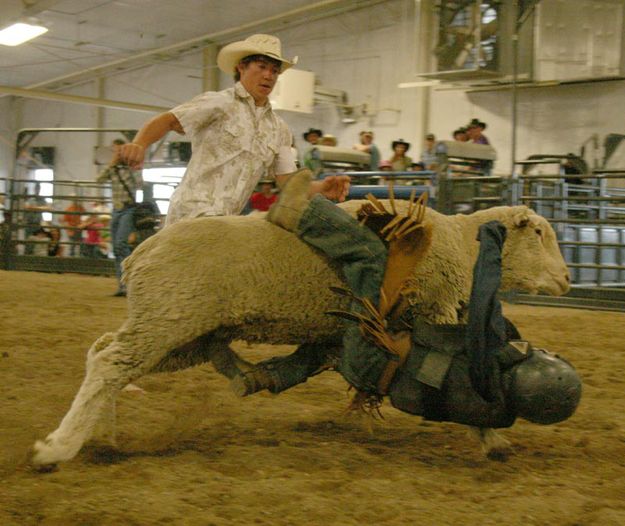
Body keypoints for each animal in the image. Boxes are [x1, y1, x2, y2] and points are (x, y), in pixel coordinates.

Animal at [33, 205, 572, 470]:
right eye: (539, 233)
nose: (568, 279)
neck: (460, 245)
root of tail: (136, 255)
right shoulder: (434, 313)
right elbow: (460, 382)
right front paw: (493, 441)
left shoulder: (347, 332)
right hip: (169, 318)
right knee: (109, 364)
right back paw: (56, 448)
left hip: (177, 330)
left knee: (103, 354)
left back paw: (100, 433)